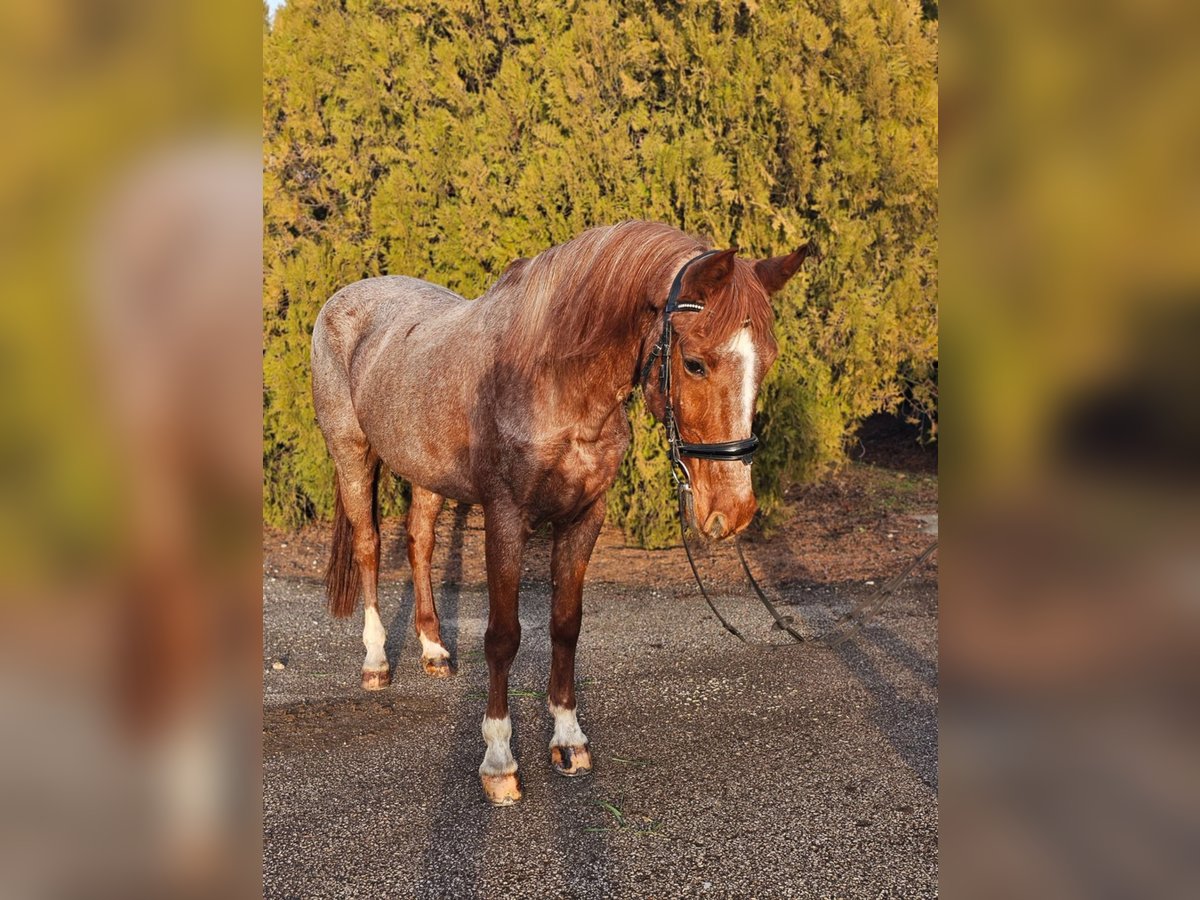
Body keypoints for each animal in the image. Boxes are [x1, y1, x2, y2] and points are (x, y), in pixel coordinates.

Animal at [311, 221, 809, 804]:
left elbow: (565, 626)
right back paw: (376, 662)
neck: (554, 382)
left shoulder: (584, 518)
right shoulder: (506, 520)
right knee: (368, 545)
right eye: (695, 363)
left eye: (767, 363)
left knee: (419, 541)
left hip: (425, 471)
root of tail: (346, 297)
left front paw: (569, 742)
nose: (733, 510)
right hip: (351, 453)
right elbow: (503, 638)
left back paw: (434, 649)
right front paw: (499, 762)